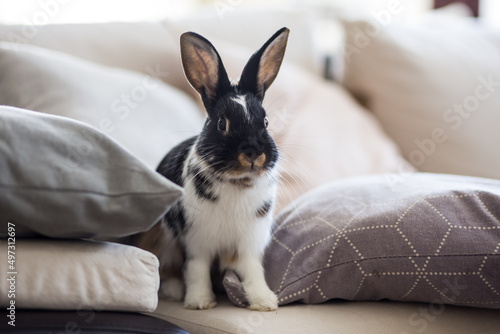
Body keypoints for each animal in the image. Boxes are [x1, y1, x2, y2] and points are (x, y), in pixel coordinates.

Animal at [134, 27, 290, 312]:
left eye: (265, 122)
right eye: (221, 124)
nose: (253, 152)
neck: (237, 182)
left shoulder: (249, 244)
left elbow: (253, 271)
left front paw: (265, 302)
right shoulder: (196, 242)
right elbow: (197, 270)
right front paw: (200, 303)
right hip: (159, 238)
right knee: (169, 269)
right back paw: (175, 292)